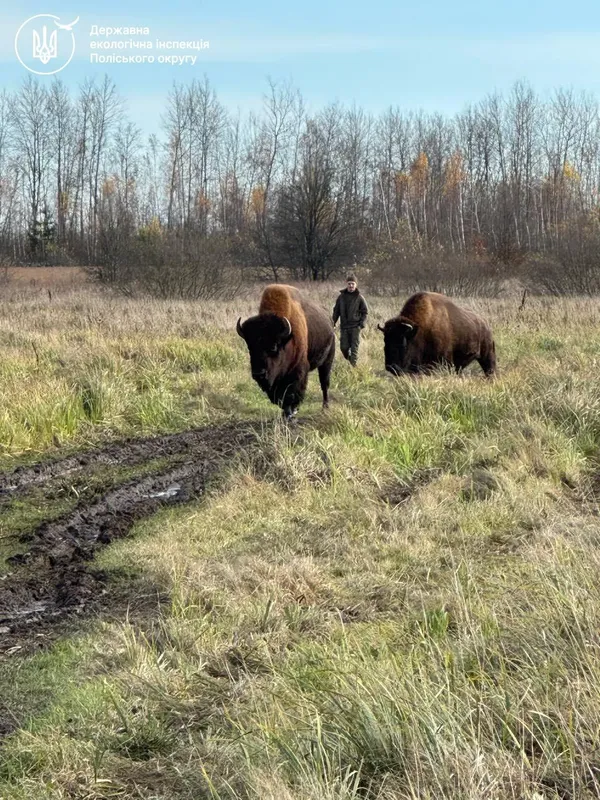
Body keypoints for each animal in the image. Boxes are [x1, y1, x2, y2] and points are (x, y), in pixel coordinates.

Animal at [236, 284, 335, 418]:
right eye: (250, 348)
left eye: (273, 347)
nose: (258, 374)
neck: (288, 338)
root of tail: (330, 320)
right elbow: (279, 396)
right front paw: (286, 411)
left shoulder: (297, 370)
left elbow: (292, 392)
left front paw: (291, 412)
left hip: (327, 361)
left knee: (324, 384)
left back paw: (325, 407)